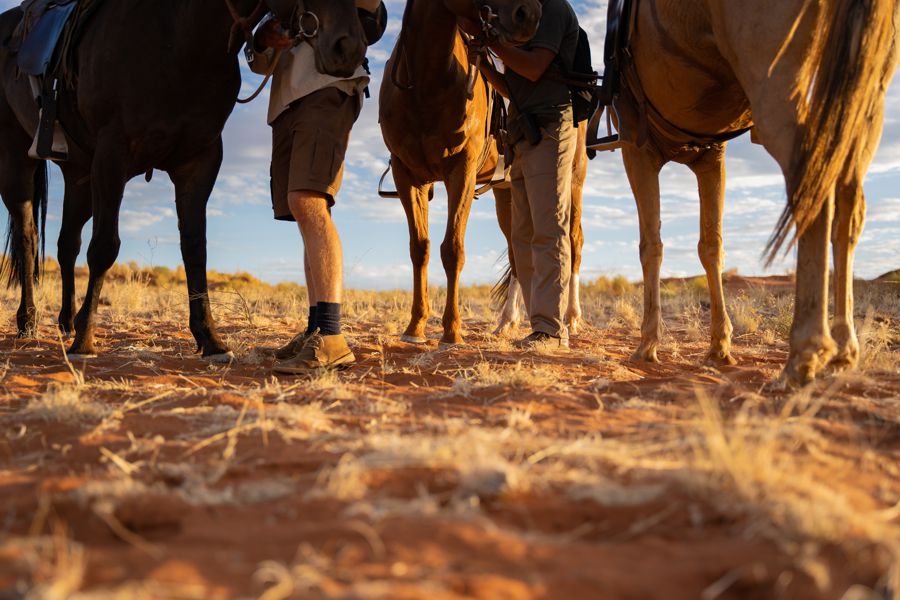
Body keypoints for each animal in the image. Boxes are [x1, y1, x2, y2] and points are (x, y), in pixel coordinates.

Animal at [0, 0, 366, 358]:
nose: (348, 47)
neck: (179, 35)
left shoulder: (199, 163)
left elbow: (194, 248)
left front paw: (209, 338)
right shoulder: (111, 154)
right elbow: (104, 246)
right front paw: (86, 339)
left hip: (79, 177)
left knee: (66, 244)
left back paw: (65, 321)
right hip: (20, 162)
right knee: (28, 239)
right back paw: (29, 321)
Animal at [380, 0, 540, 346]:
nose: (530, 15)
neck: (427, 82)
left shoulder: (461, 172)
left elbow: (452, 249)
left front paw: (452, 331)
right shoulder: (407, 175)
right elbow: (420, 248)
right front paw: (414, 327)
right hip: (508, 197)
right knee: (518, 255)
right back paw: (506, 323)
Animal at [616, 0, 896, 384]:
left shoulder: (637, 148)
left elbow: (650, 246)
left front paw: (647, 345)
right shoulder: (711, 156)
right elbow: (711, 246)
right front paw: (719, 347)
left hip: (778, 88)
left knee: (811, 184)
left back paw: (804, 353)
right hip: (864, 102)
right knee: (848, 210)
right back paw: (843, 351)